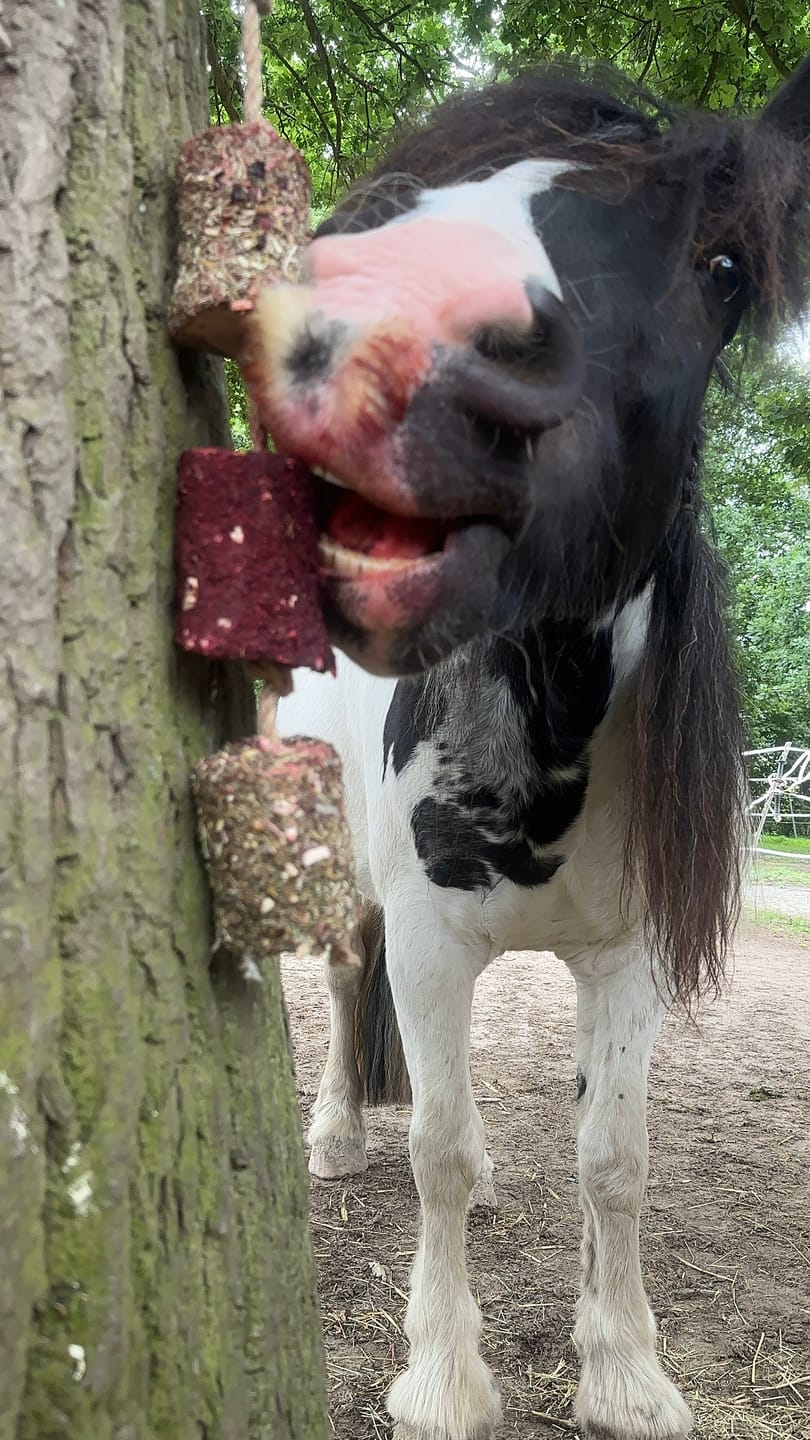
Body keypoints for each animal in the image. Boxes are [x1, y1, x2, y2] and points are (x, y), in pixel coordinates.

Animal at [260, 57, 810, 1440]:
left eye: (725, 264)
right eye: (401, 199)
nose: (388, 336)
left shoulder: (630, 958)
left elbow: (613, 1159)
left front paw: (625, 1370)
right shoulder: (427, 938)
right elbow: (436, 1153)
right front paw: (442, 1376)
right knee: (345, 991)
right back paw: (335, 1135)